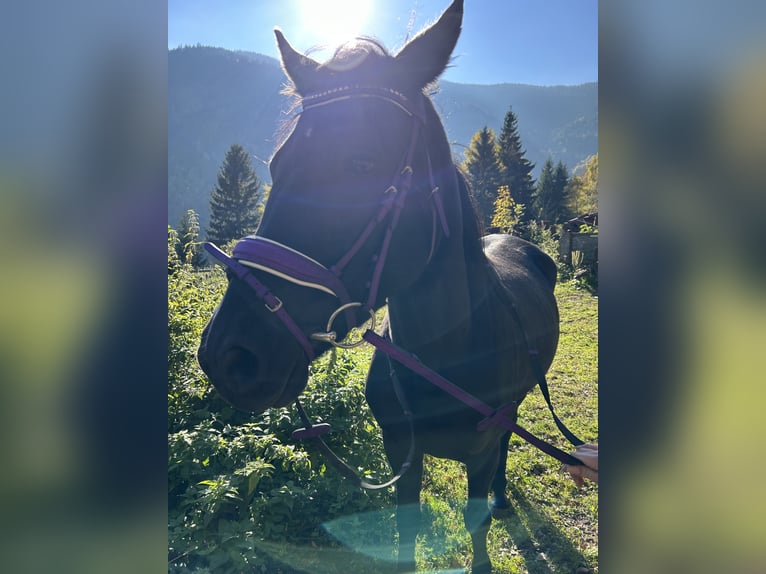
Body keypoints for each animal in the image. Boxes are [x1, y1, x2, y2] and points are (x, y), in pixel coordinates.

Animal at [197, 1, 560, 571]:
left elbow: (476, 522)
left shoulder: (477, 457)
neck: (444, 358)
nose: (228, 354)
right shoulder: (400, 454)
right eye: (277, 165)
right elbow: (406, 535)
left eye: (361, 162)